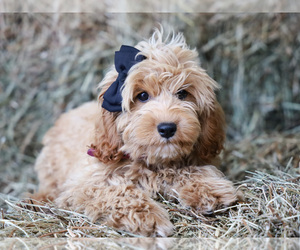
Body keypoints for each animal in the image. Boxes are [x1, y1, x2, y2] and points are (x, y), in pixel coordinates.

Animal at [32, 29, 238, 236]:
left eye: (182, 94)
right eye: (143, 96)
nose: (167, 128)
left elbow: (188, 170)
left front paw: (211, 190)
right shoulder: (85, 183)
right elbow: (116, 191)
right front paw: (147, 216)